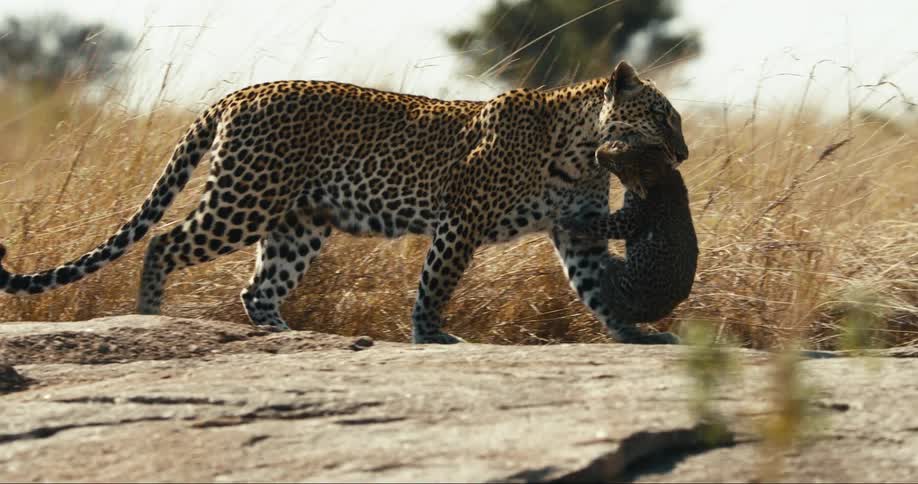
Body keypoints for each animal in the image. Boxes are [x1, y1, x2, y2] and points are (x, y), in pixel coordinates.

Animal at [560, 131, 698, 345]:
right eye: (616, 145)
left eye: (618, 167)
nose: (598, 153)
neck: (662, 171)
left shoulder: (630, 218)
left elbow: (602, 224)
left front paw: (571, 223)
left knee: (608, 286)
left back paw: (607, 265)